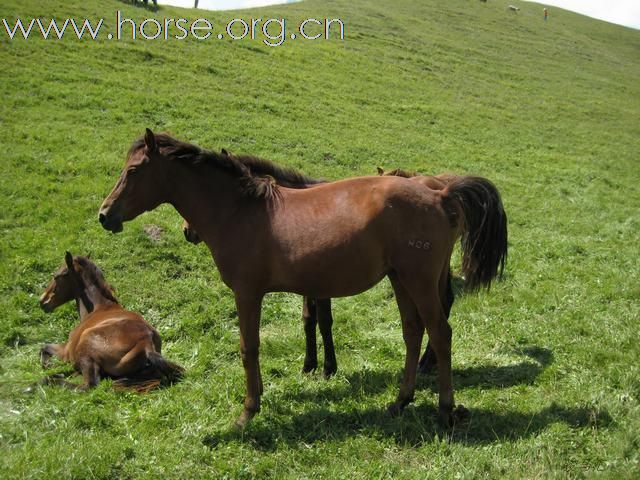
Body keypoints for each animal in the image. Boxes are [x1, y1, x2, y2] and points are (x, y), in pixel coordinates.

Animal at [37, 251, 182, 390]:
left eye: (56, 276)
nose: (43, 301)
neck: (99, 307)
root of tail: (146, 344)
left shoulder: (66, 351)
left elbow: (44, 347)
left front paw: (50, 367)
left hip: (86, 350)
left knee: (88, 385)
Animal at [99, 128, 504, 428]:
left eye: (133, 171)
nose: (105, 215)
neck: (242, 212)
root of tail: (441, 194)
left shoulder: (248, 294)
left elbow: (249, 348)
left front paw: (248, 411)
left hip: (418, 280)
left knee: (440, 332)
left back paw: (444, 411)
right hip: (401, 280)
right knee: (412, 331)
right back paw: (399, 402)